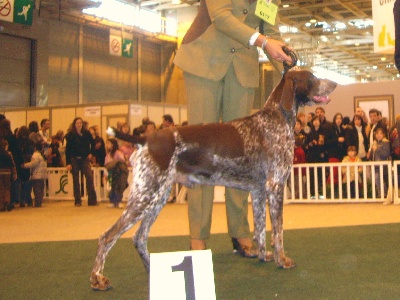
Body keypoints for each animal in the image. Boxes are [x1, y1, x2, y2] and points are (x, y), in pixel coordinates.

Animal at [89, 68, 336, 290]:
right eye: (312, 78)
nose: (334, 83)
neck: (275, 118)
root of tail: (146, 139)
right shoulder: (275, 187)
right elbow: (278, 232)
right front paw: (282, 260)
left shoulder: (258, 191)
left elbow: (259, 230)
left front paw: (262, 255)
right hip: (145, 196)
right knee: (106, 237)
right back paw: (98, 279)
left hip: (157, 197)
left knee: (139, 238)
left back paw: (156, 271)